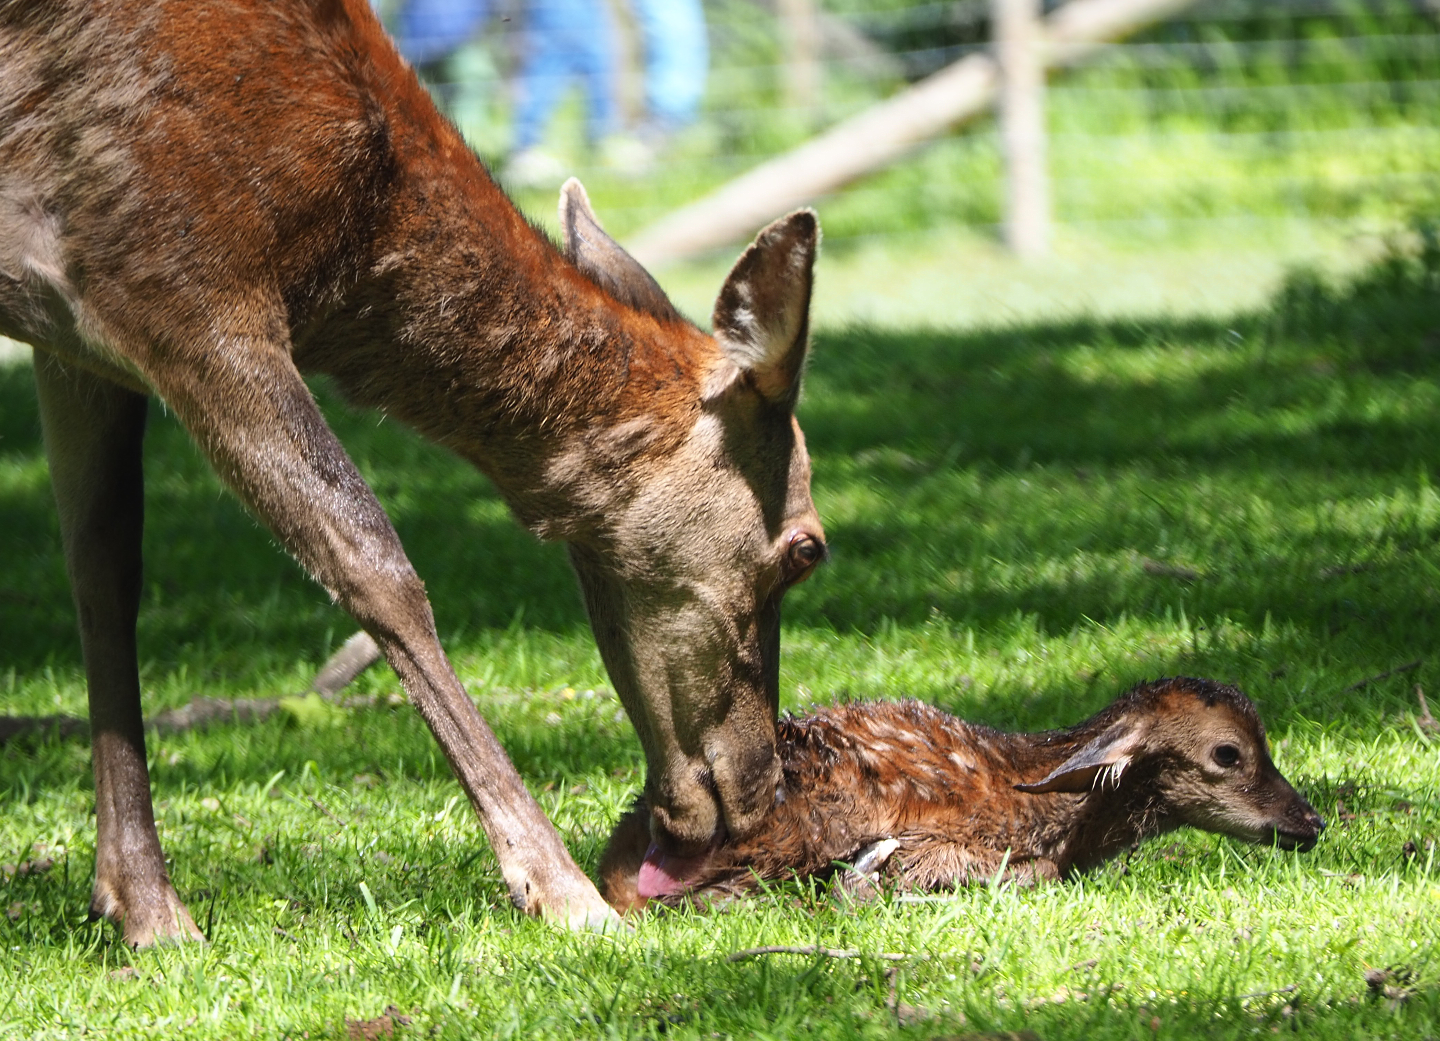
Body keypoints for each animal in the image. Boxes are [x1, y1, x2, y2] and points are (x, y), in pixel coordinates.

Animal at [0, 0, 828, 945]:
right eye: (808, 548)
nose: (763, 790)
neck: (337, 252)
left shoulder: (79, 335)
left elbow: (103, 572)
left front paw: (142, 905)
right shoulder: (179, 282)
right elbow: (374, 562)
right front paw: (561, 889)